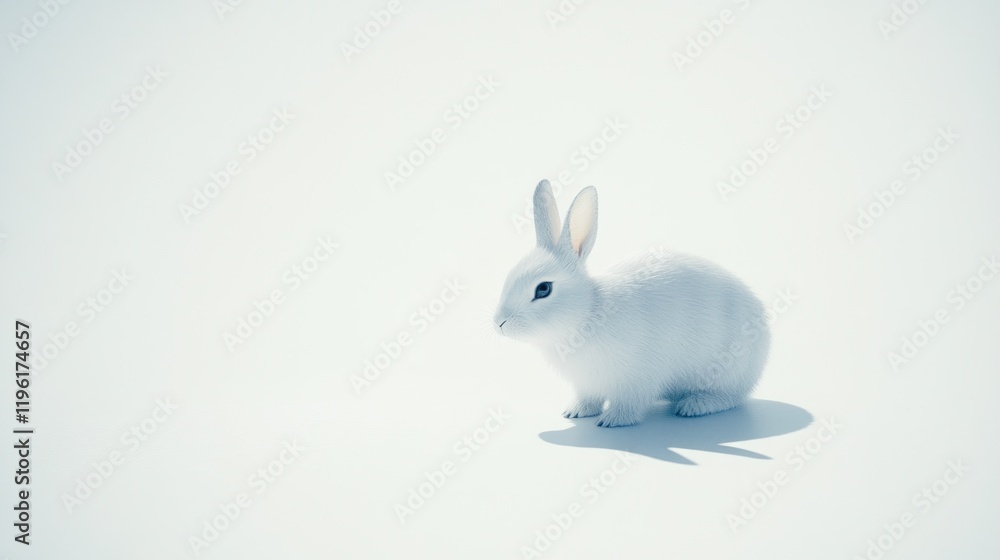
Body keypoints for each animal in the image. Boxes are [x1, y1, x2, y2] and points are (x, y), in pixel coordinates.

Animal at [494, 180, 770, 428]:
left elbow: (630, 403)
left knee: (730, 397)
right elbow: (588, 399)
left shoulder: (637, 379)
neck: (586, 314)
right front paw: (576, 412)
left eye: (543, 289)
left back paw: (694, 405)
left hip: (728, 372)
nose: (499, 324)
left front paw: (613, 420)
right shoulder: (587, 384)